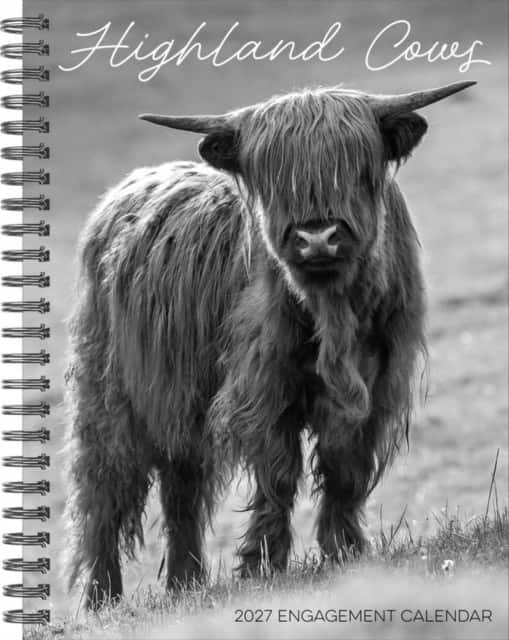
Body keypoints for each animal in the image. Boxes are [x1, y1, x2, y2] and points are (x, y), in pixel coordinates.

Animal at [63, 81, 475, 608]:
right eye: (272, 175)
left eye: (357, 165)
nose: (317, 238)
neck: (333, 313)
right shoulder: (263, 384)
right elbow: (278, 471)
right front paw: (263, 565)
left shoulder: (379, 383)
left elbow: (345, 466)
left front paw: (344, 552)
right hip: (109, 393)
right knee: (104, 487)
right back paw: (102, 598)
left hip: (179, 403)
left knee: (182, 488)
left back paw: (185, 583)